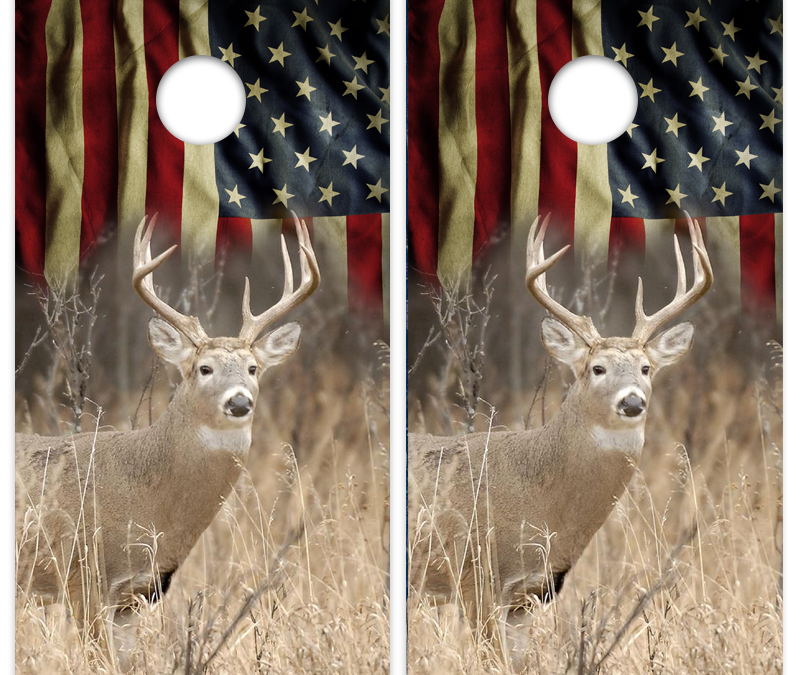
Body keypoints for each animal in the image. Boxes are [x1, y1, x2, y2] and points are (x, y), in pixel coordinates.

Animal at [15, 212, 319, 666]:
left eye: (253, 368)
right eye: (204, 368)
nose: (240, 401)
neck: (146, 496)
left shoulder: (136, 595)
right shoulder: (81, 576)